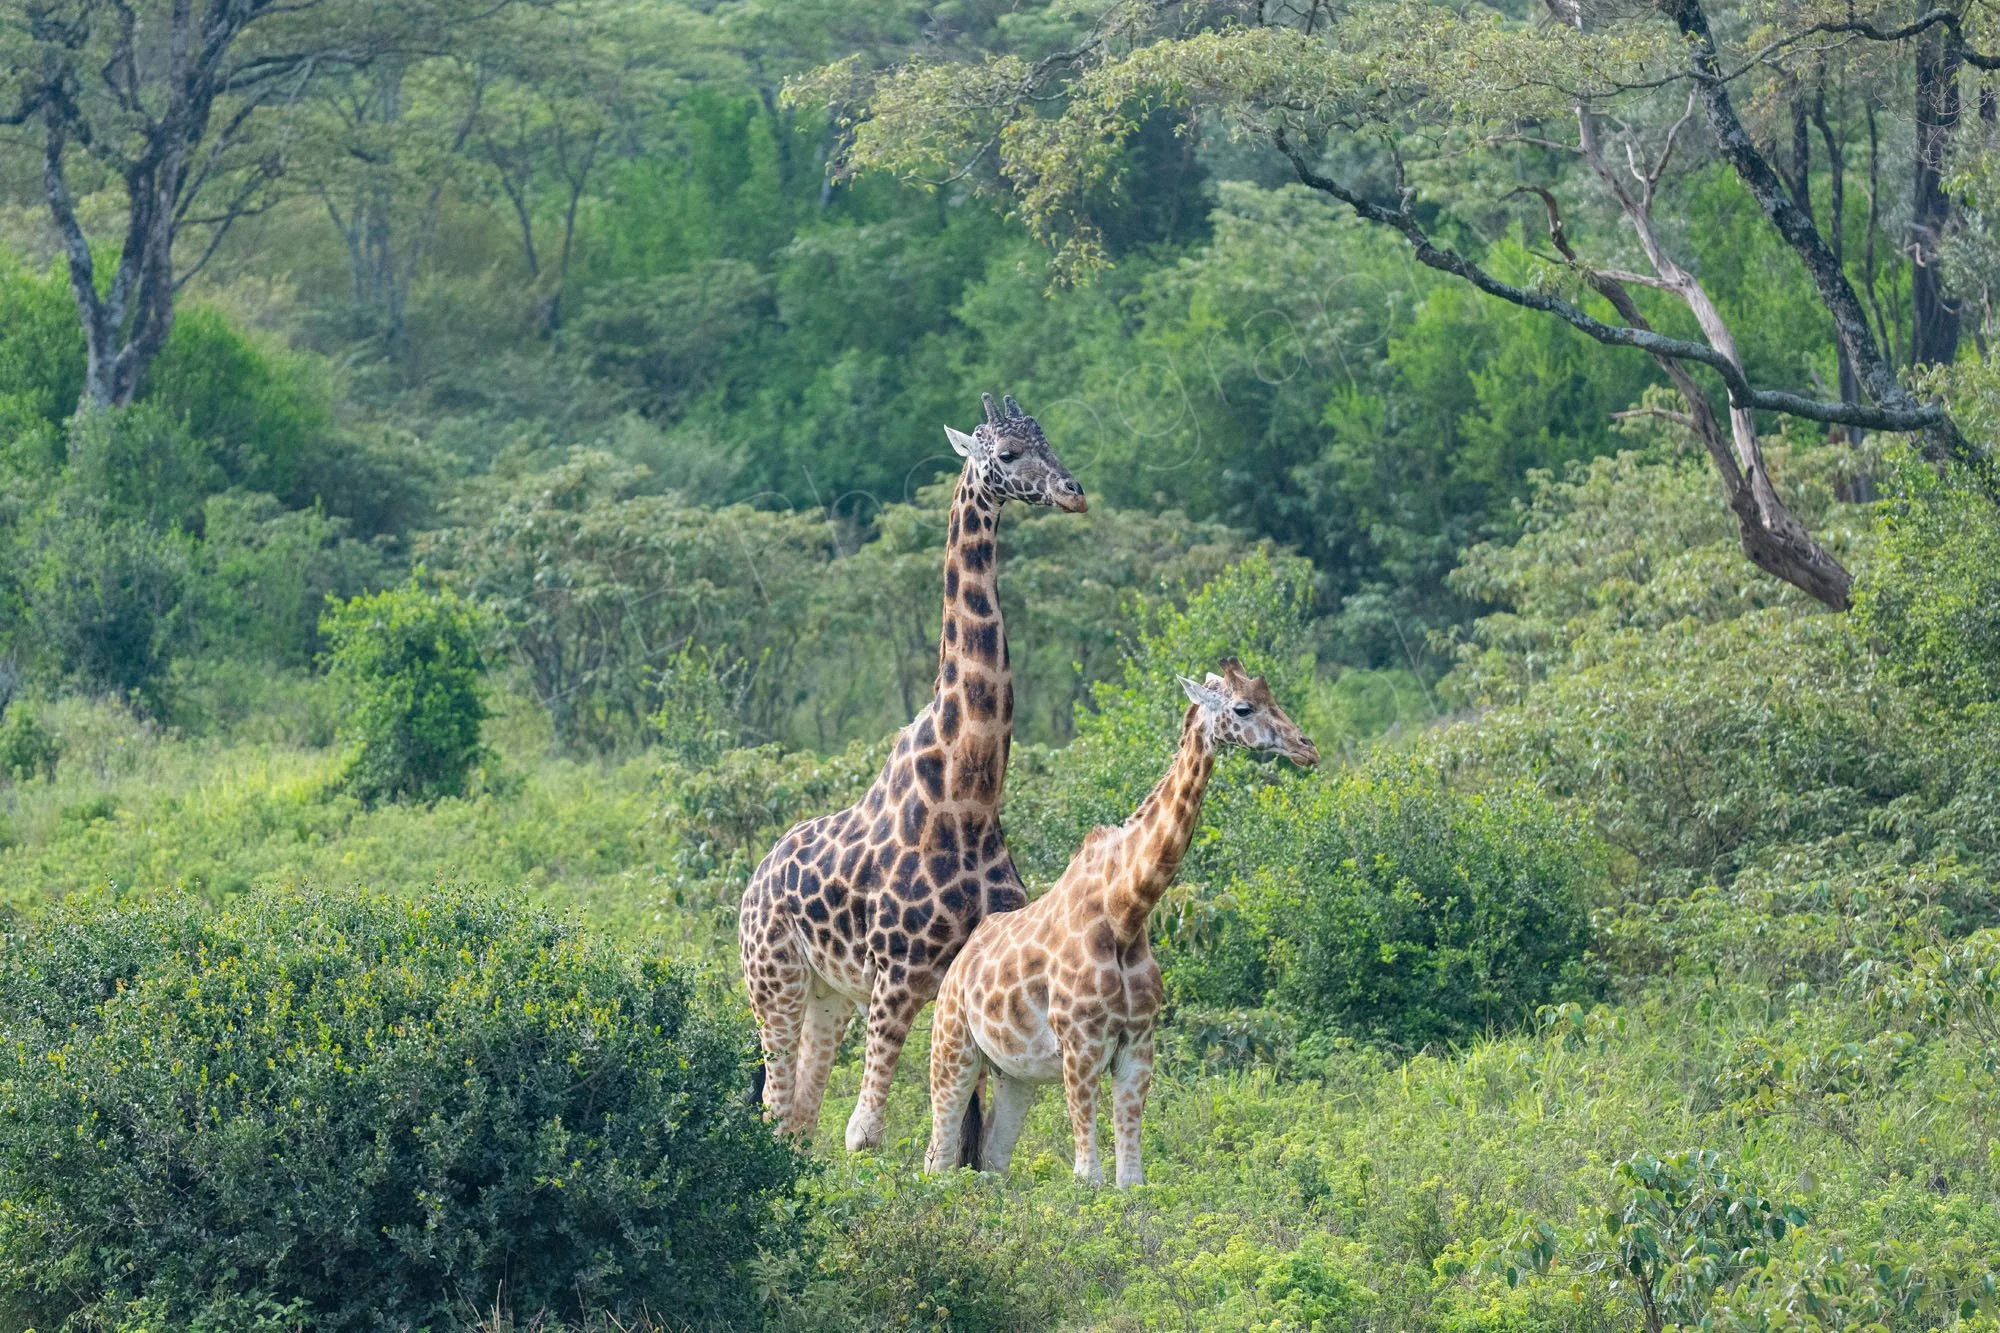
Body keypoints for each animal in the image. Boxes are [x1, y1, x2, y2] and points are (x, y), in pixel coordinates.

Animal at [739, 392, 1086, 1152]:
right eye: (1007, 454)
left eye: (1049, 440)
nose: (1073, 491)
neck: (970, 795)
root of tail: (753, 878)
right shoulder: (898, 975)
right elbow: (865, 1133)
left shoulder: (963, 977)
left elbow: (966, 1145)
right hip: (772, 976)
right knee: (777, 1108)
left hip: (831, 992)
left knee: (800, 1112)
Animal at [923, 660, 1318, 1186]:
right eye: (1242, 708)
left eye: (1274, 700)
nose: (1306, 747)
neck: (1126, 911)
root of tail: (958, 964)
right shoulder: (1081, 1044)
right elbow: (1087, 1177)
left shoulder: (1138, 1045)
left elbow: (1131, 1179)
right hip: (952, 1048)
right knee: (937, 1160)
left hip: (1016, 1074)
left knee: (992, 1159)